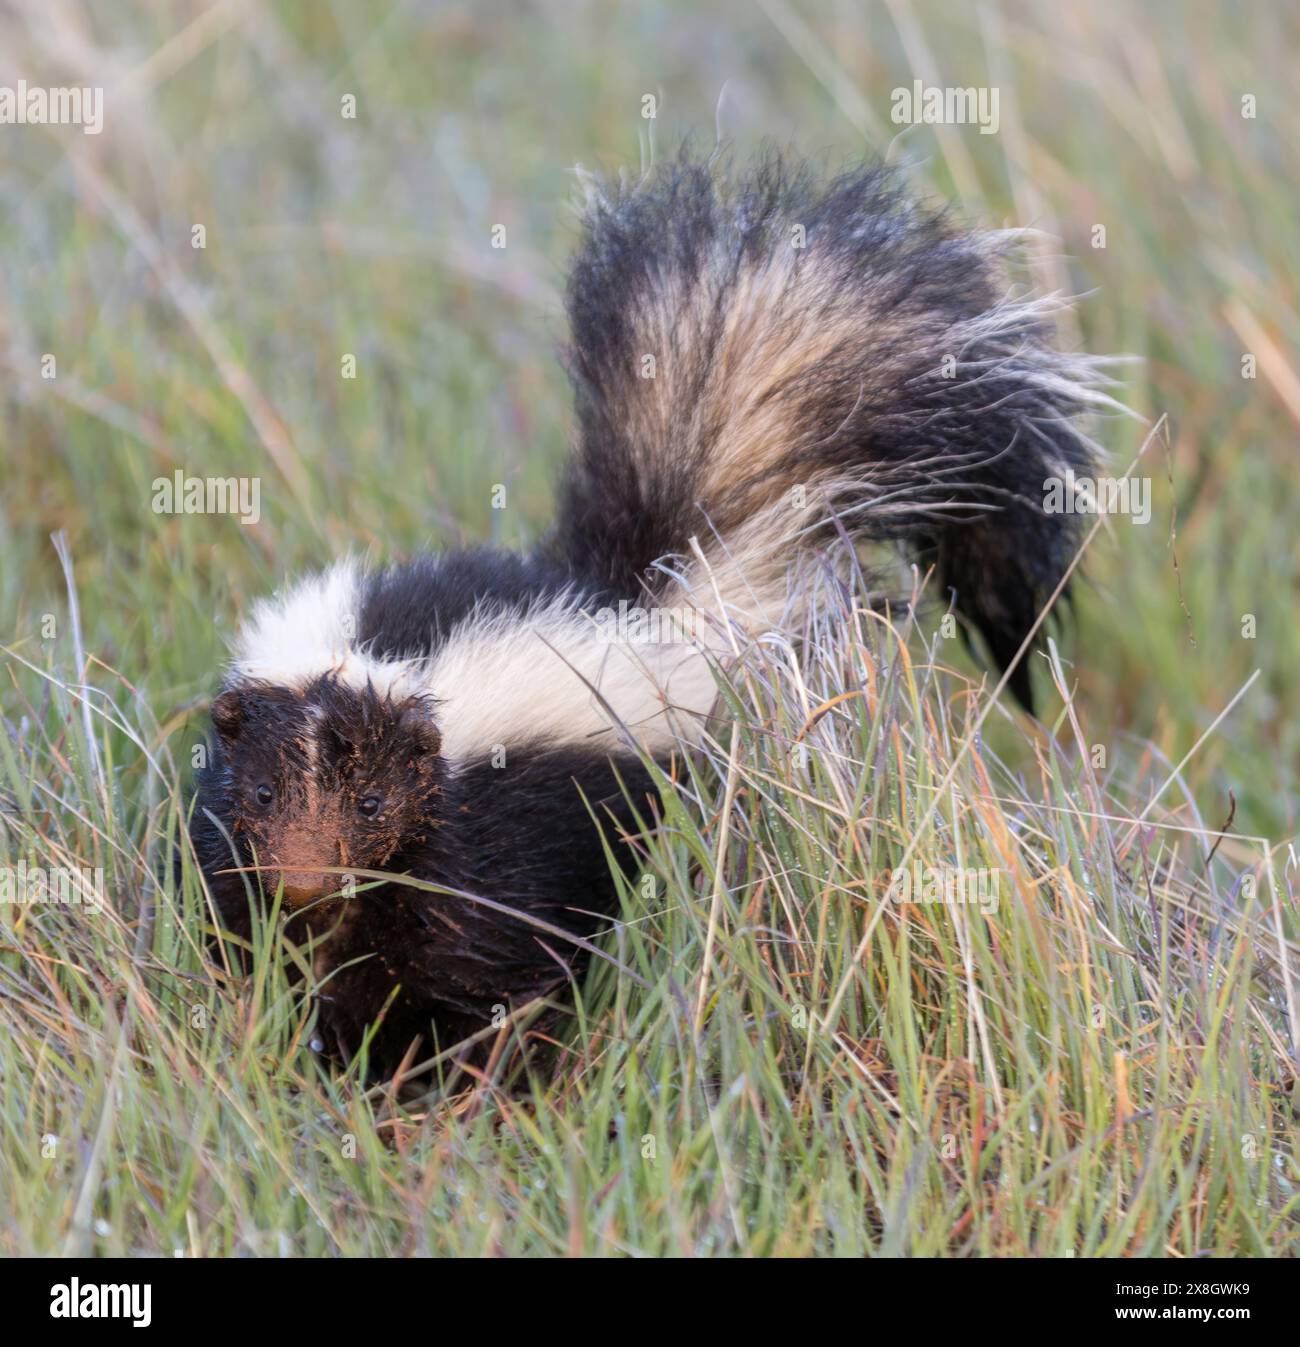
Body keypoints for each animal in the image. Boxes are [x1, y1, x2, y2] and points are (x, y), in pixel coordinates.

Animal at [187, 147, 1110, 1072]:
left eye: (374, 804)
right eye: (263, 791)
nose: (305, 881)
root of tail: (639, 593)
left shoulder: (485, 839)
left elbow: (480, 970)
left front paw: (442, 1073)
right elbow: (244, 932)